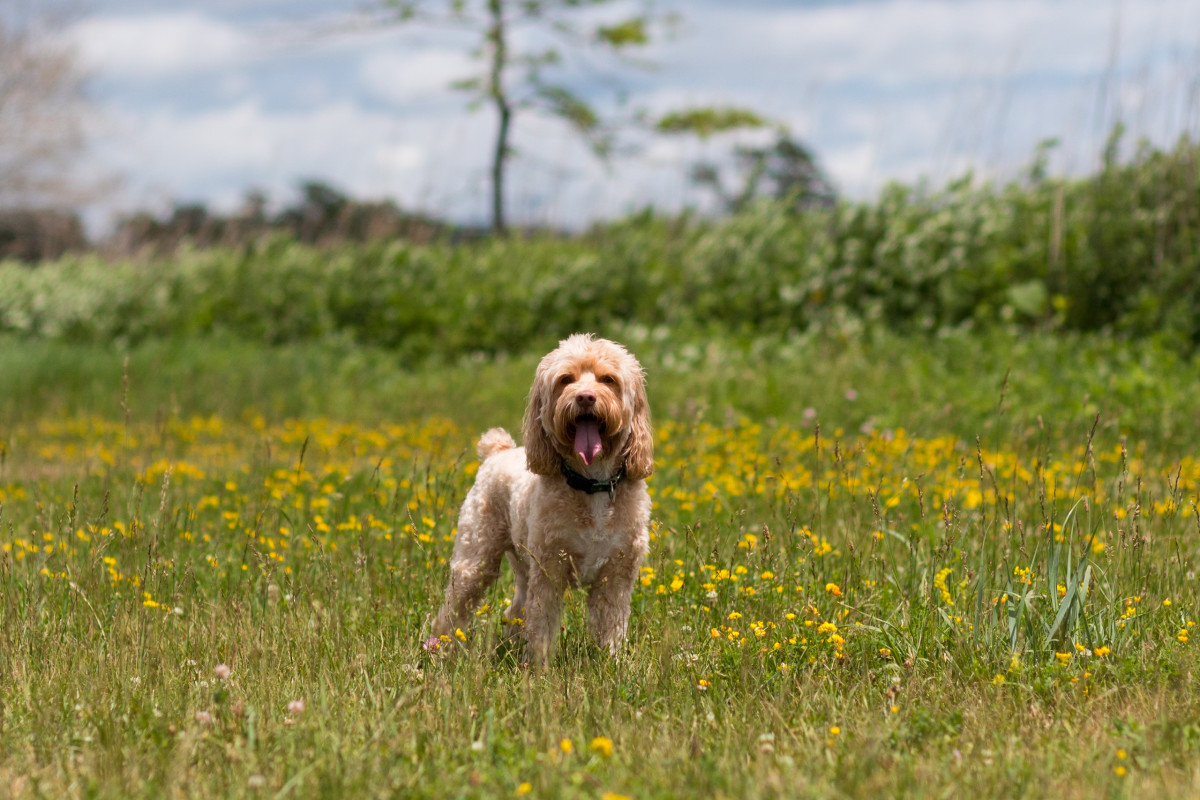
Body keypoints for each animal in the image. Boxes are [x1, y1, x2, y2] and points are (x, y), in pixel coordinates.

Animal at [429, 331, 657, 662]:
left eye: (608, 379)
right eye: (566, 379)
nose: (585, 397)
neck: (592, 483)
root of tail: (496, 452)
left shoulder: (615, 577)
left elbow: (611, 629)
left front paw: (612, 664)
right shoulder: (550, 572)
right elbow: (542, 628)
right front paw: (538, 669)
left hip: (523, 567)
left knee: (514, 611)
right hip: (475, 560)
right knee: (453, 610)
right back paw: (441, 651)